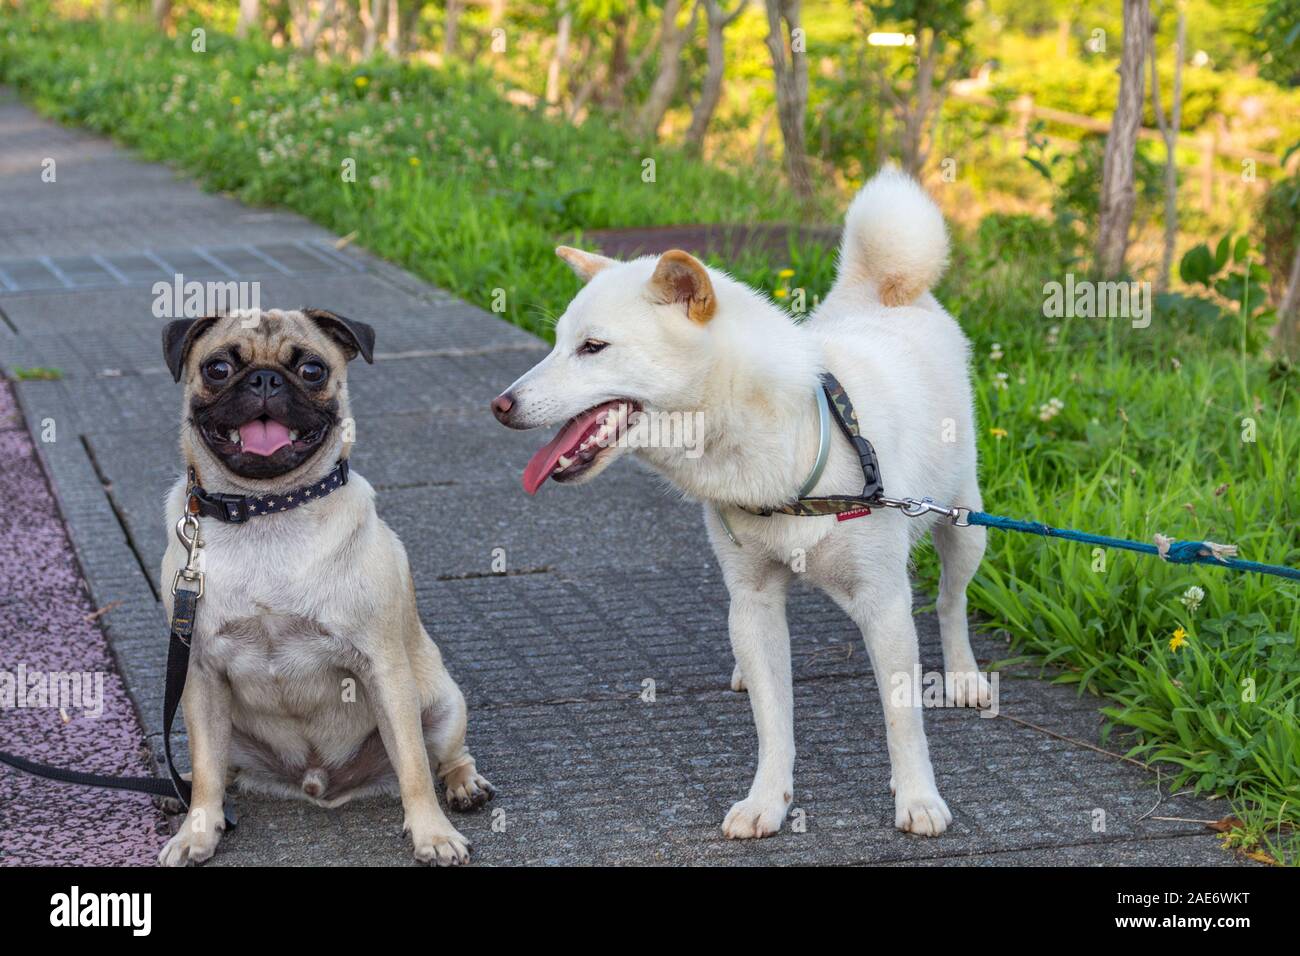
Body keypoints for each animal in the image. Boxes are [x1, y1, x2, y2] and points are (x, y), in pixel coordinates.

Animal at [156, 308, 491, 868]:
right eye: (218, 368)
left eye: (311, 370)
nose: (264, 380)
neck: (266, 511)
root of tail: (317, 783)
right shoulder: (199, 673)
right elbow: (205, 771)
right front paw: (196, 831)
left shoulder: (383, 670)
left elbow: (415, 769)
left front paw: (432, 834)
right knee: (218, 769)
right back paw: (181, 793)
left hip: (443, 705)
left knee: (443, 757)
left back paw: (466, 786)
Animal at [488, 170, 982, 837]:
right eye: (558, 343)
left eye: (593, 347)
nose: (501, 405)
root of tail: (886, 292)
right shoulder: (752, 596)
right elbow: (774, 723)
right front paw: (767, 801)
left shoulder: (883, 603)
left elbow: (902, 720)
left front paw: (918, 798)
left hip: (965, 524)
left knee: (952, 600)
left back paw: (965, 674)